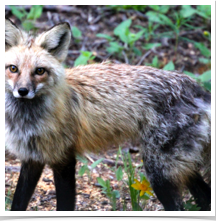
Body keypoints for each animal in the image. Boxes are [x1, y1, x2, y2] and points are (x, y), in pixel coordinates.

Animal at [5, 18, 211, 211]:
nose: (22, 91)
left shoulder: (64, 158)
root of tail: (196, 88)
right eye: (13, 68)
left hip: (160, 173)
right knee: (205, 197)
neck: (26, 122)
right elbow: (18, 202)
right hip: (181, 168)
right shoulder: (31, 158)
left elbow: (64, 204)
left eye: (39, 71)